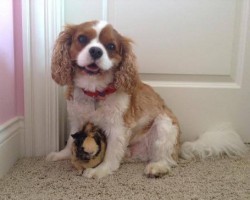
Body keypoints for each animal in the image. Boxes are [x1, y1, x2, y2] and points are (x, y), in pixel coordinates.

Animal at [46, 20, 247, 178]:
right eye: (82, 39)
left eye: (111, 46)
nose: (96, 51)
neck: (95, 90)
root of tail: (178, 146)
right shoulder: (76, 120)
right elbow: (71, 140)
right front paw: (62, 155)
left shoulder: (118, 127)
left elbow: (111, 152)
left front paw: (100, 170)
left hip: (164, 125)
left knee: (167, 160)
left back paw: (157, 167)